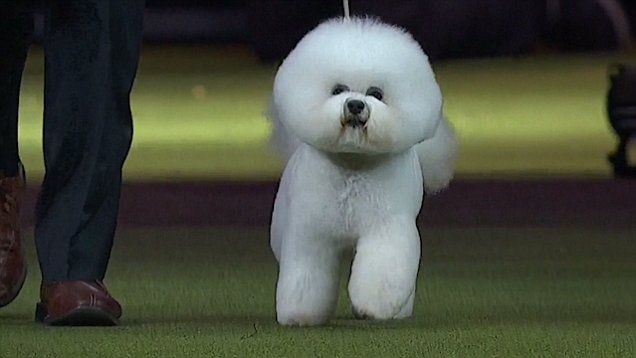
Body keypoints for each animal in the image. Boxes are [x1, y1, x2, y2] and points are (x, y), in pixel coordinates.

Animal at [268, 16, 458, 326]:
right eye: (337, 89)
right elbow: (305, 274)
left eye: (376, 93)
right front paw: (300, 315)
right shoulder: (311, 232)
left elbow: (382, 270)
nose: (355, 104)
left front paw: (373, 307)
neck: (353, 165)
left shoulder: (386, 227)